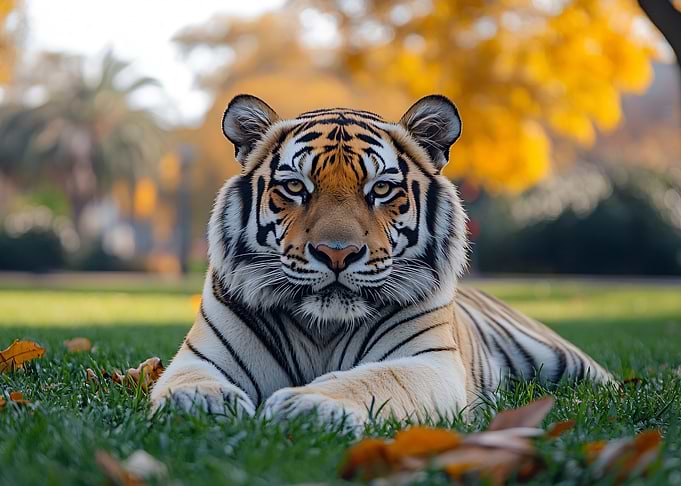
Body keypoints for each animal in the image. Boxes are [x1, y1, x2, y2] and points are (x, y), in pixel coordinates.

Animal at [150, 94, 612, 428]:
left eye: (382, 189)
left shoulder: (428, 361)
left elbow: (372, 380)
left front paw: (305, 403)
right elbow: (188, 384)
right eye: (296, 187)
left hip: (563, 359)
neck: (323, 329)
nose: (337, 253)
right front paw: (205, 405)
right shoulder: (202, 357)